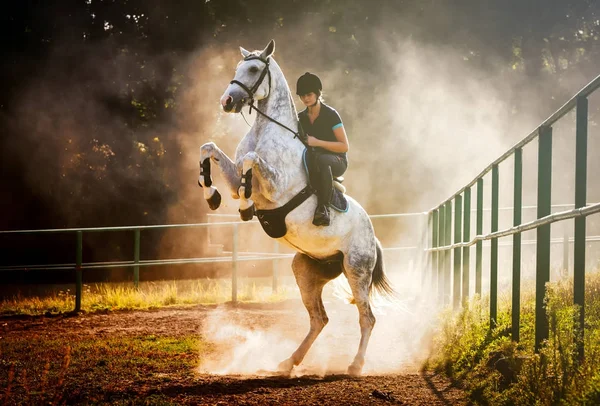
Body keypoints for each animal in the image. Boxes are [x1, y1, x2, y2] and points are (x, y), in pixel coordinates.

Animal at [197, 39, 394, 376]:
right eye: (237, 68)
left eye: (253, 69)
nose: (227, 101)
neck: (265, 130)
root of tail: (374, 237)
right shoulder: (234, 175)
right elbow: (209, 149)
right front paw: (211, 193)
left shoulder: (276, 187)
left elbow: (250, 162)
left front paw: (246, 206)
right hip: (306, 270)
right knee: (319, 319)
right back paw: (288, 361)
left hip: (356, 269)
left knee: (367, 317)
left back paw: (355, 365)